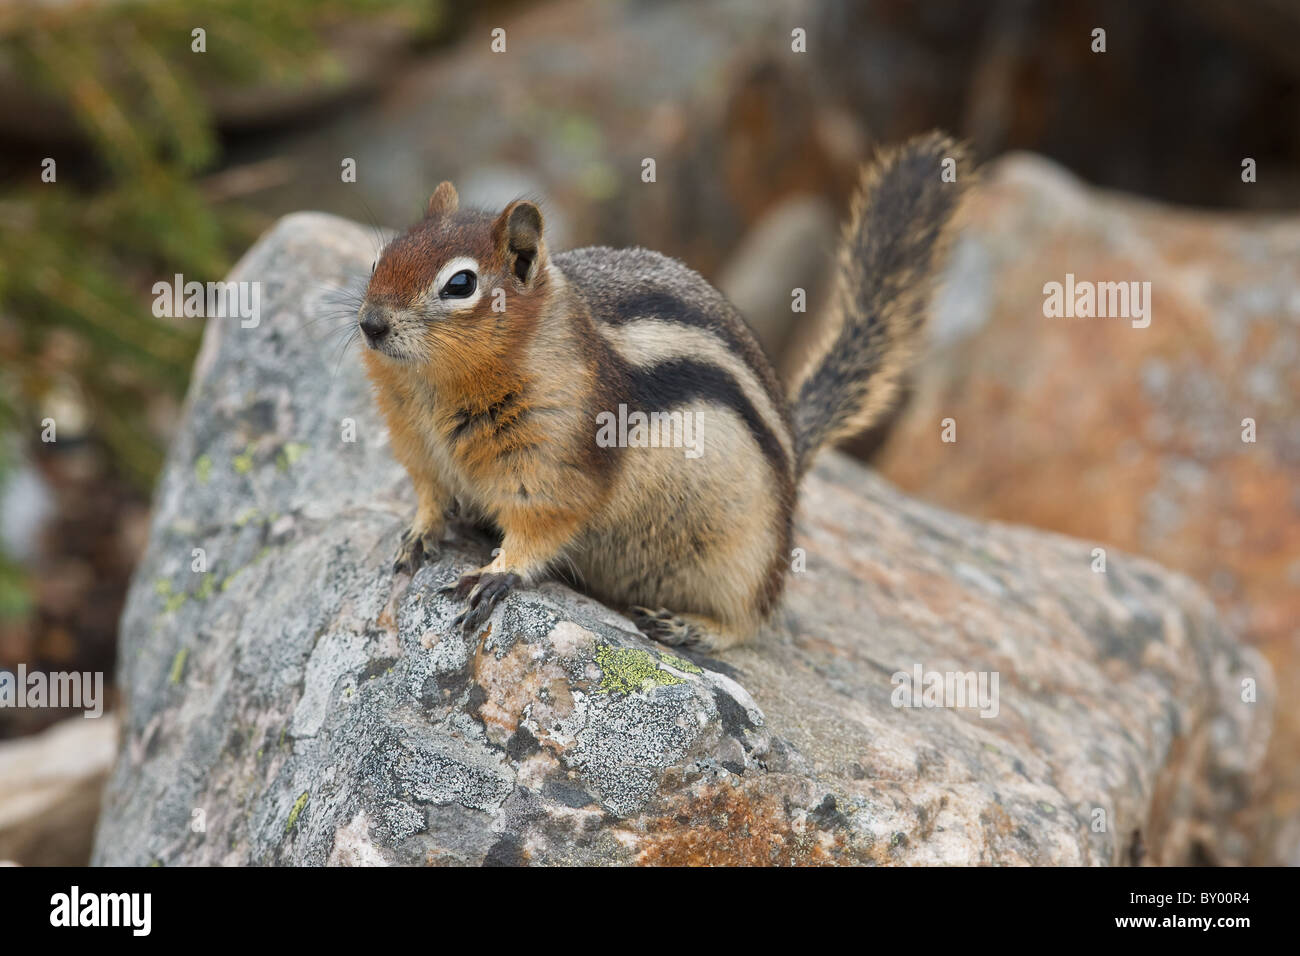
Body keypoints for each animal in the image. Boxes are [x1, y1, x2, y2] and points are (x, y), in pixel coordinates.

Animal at [356, 132, 967, 650]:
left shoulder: (555, 463)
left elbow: (541, 526)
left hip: (743, 557)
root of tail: (795, 458)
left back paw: (692, 627)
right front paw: (419, 533)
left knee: (753, 617)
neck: (434, 392)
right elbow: (431, 496)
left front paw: (496, 572)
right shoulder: (421, 450)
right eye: (383, 256)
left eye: (460, 284)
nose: (370, 324)